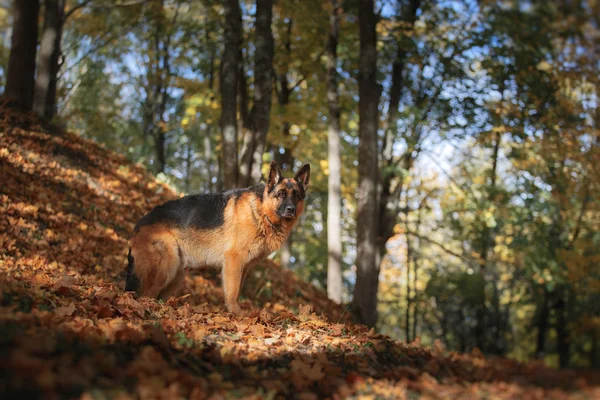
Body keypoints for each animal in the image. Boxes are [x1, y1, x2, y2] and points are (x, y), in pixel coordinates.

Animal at [123, 161, 310, 314]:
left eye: (296, 195)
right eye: (281, 194)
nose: (291, 210)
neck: (261, 212)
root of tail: (137, 227)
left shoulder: (244, 267)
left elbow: (237, 290)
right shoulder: (234, 260)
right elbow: (233, 291)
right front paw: (237, 314)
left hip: (177, 274)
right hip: (167, 267)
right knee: (146, 295)